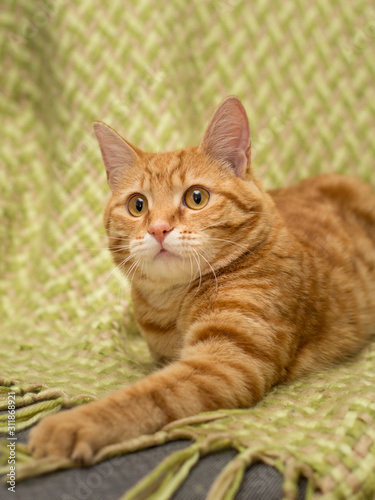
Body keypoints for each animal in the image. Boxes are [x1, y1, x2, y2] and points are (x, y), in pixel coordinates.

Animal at [28, 95, 375, 462]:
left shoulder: (224, 363)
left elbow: (145, 395)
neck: (174, 304)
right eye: (137, 205)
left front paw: (72, 423)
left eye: (196, 197)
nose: (158, 229)